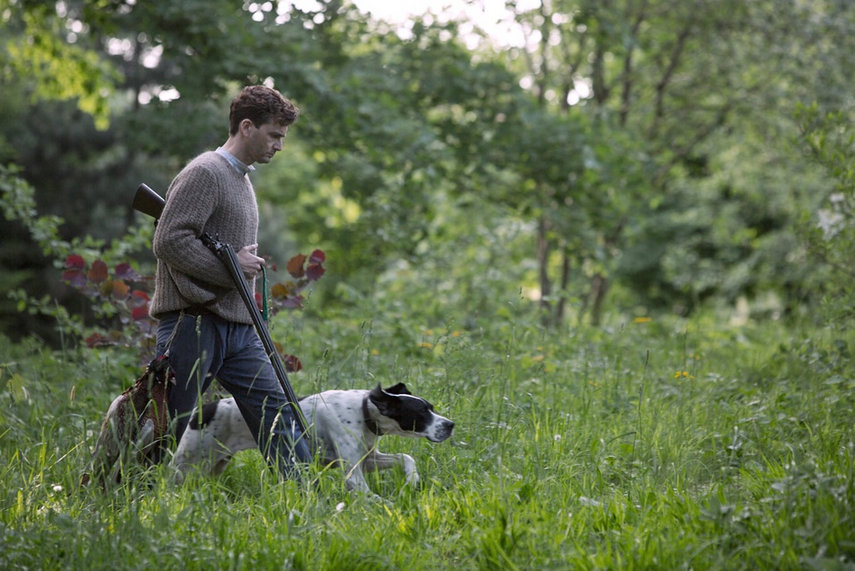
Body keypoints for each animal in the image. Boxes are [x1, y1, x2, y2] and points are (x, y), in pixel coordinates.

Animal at [171, 382, 458, 494]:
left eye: (431, 407)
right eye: (421, 412)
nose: (450, 424)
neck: (363, 411)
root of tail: (204, 409)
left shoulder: (367, 460)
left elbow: (406, 457)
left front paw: (412, 479)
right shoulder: (353, 473)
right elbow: (368, 495)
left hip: (215, 464)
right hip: (185, 463)